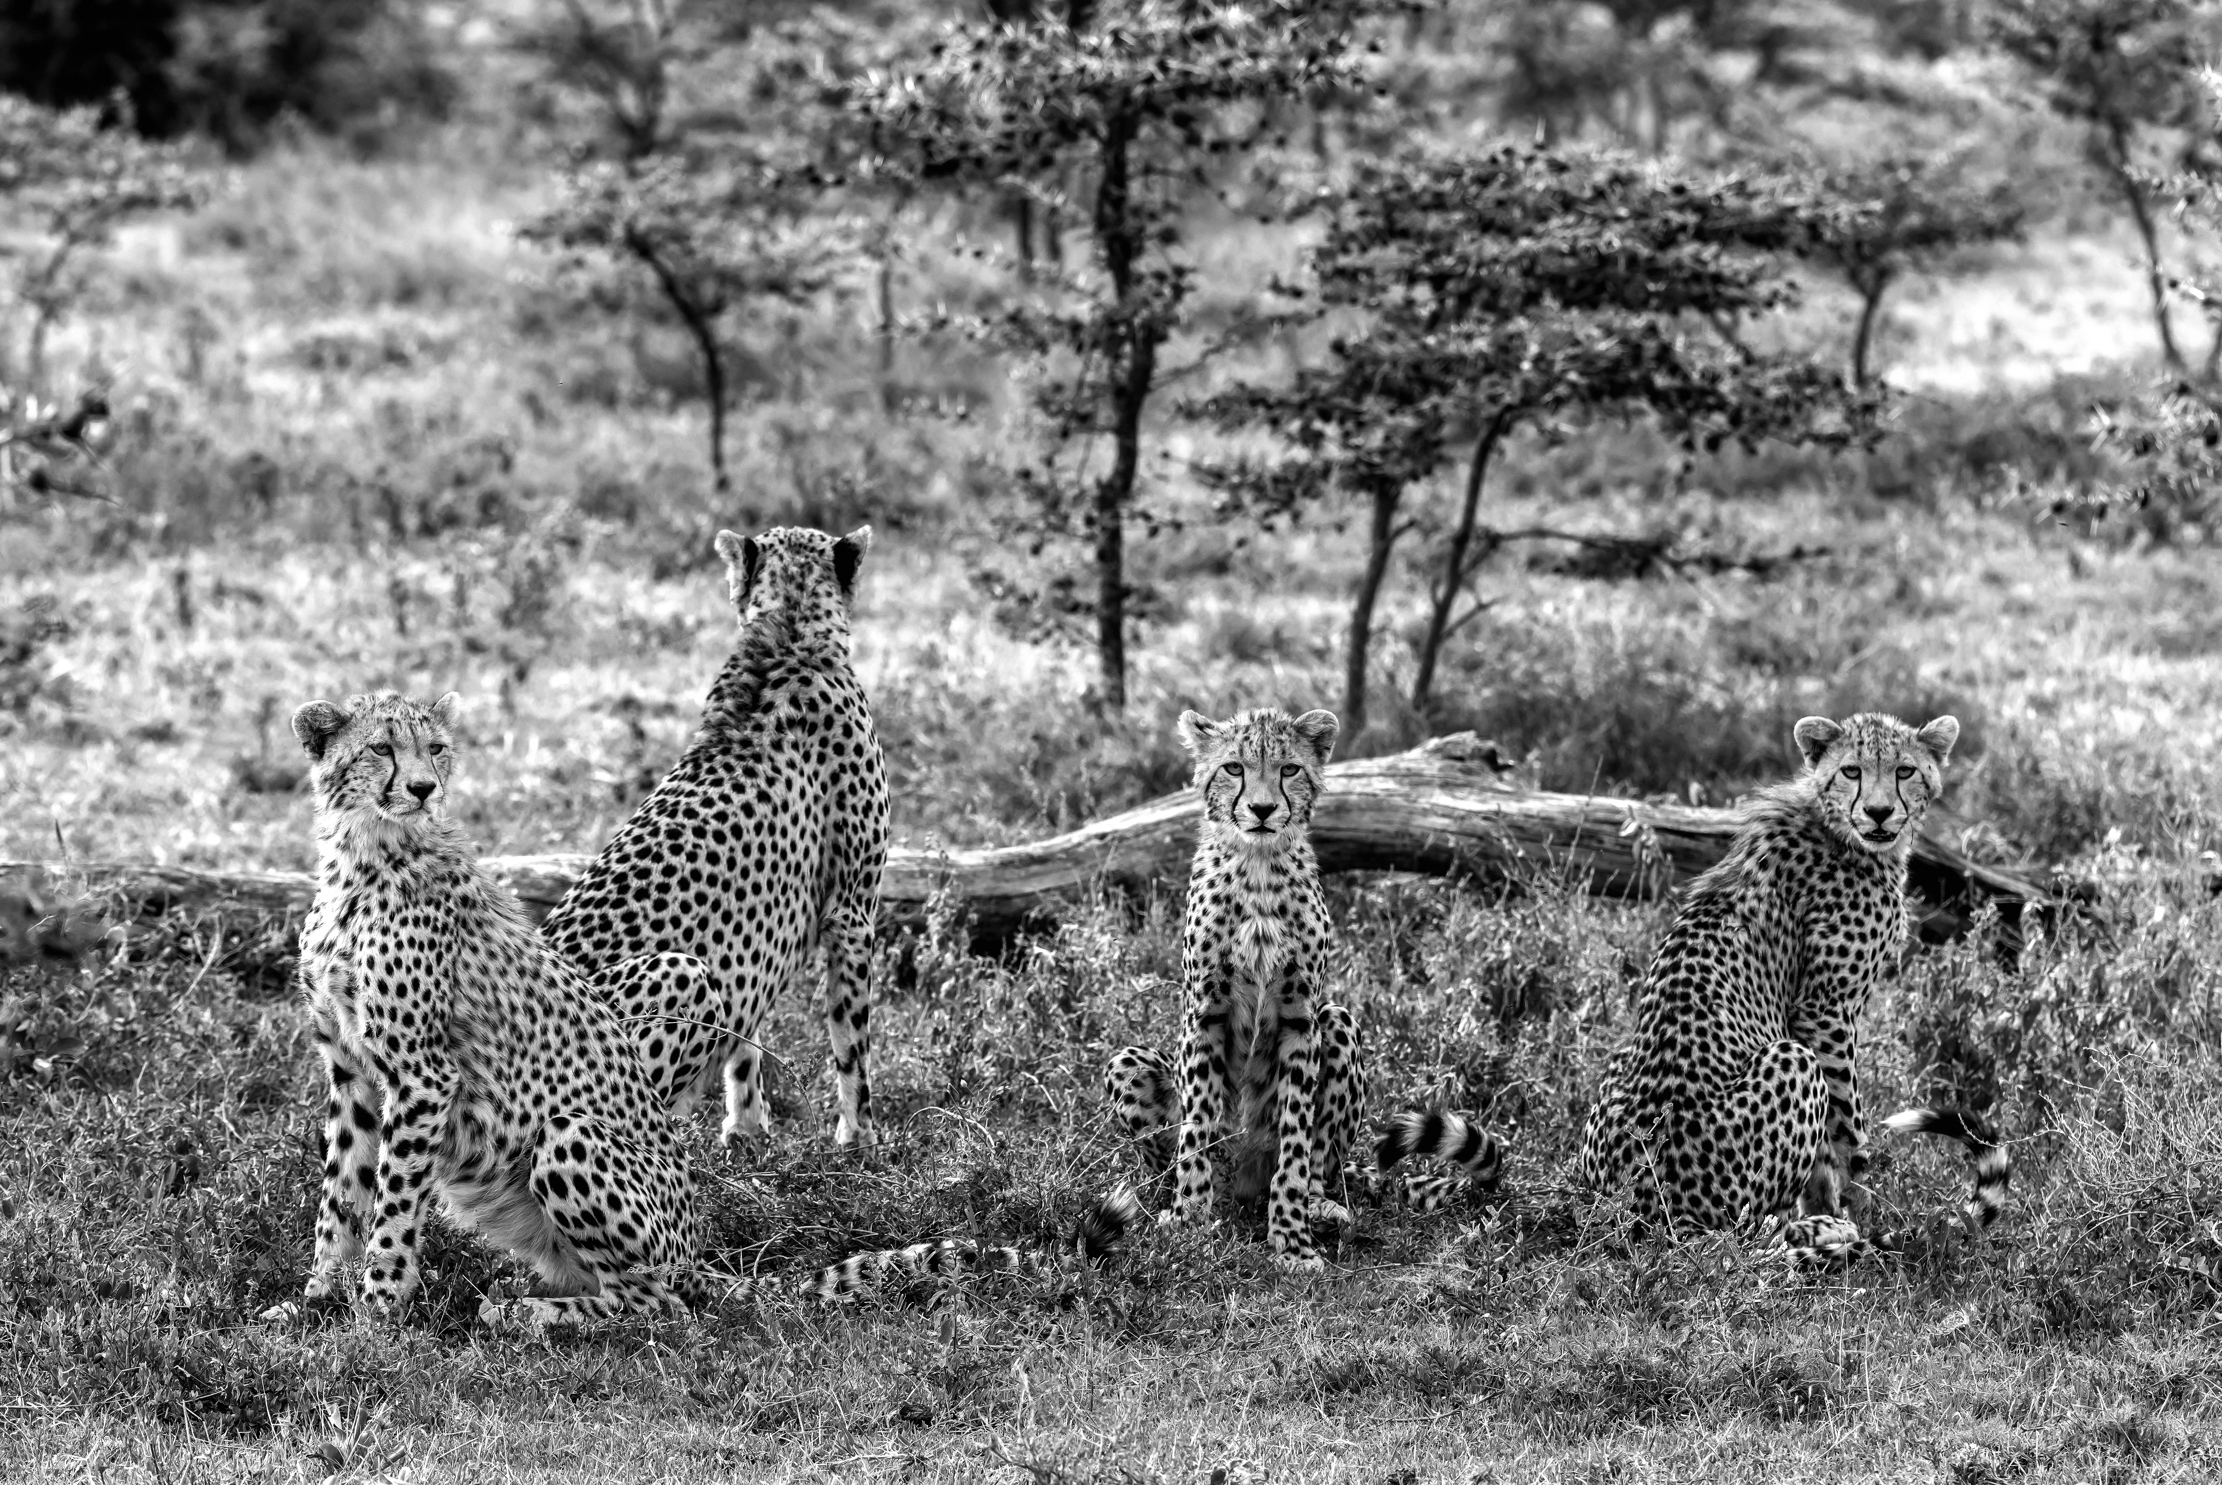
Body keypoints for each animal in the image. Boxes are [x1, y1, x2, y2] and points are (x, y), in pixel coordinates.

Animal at [287, 689, 725, 1328]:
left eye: (436, 748)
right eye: (381, 748)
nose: (424, 788)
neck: (364, 854)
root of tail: (697, 1254)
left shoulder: (424, 1075)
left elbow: (394, 1199)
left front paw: (377, 1311)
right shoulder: (348, 1068)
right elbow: (342, 1191)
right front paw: (317, 1299)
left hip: (570, 1135)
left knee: (651, 1304)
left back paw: (527, 1313)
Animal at [539, 524, 890, 1149]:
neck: (791, 632)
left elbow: (746, 1051)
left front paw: (747, 1131)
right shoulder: (852, 912)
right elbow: (852, 1045)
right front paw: (862, 1138)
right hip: (680, 974)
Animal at [1104, 707, 1502, 1273]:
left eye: (1289, 769)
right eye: (1233, 767)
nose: (1263, 808)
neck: (1258, 865)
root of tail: (1242, 1188)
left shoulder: (1300, 1016)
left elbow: (1295, 1138)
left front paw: (1291, 1238)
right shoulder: (1203, 1013)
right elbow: (1198, 1127)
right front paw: (1188, 1221)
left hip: (1337, 1024)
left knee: (1320, 1164)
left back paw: (1319, 1207)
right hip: (1129, 1062)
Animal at [1577, 711, 2011, 1261]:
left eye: (1905, 770)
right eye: (1851, 770)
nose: (1878, 811)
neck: (1838, 830)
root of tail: (1640, 1216)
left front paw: (1832, 1205)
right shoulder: (1825, 1011)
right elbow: (1847, 1129)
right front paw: (1856, 1206)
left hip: (1620, 1060)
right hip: (1790, 1062)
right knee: (1747, 1235)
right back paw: (1822, 1233)